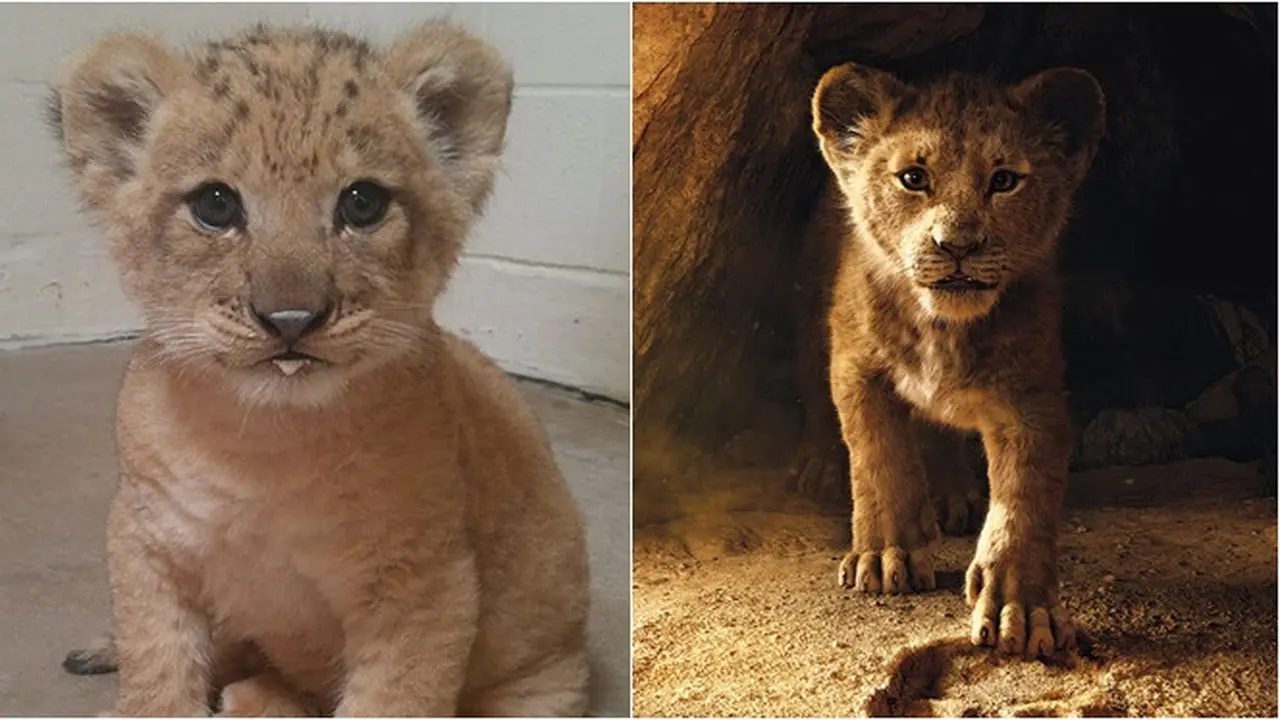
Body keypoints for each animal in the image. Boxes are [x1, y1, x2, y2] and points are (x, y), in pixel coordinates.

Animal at [49, 23, 589, 716]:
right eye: (215, 204)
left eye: (362, 204)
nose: (290, 318)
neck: (265, 445)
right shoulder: (145, 540)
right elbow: (156, 667)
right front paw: (140, 688)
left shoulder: (426, 585)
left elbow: (394, 699)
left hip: (541, 683)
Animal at [800, 62, 1105, 658]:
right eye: (913, 178)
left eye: (1004, 180)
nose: (957, 245)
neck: (942, 327)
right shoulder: (856, 367)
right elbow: (879, 457)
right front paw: (886, 555)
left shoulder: (1032, 397)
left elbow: (1024, 498)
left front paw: (1021, 607)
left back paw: (950, 494)